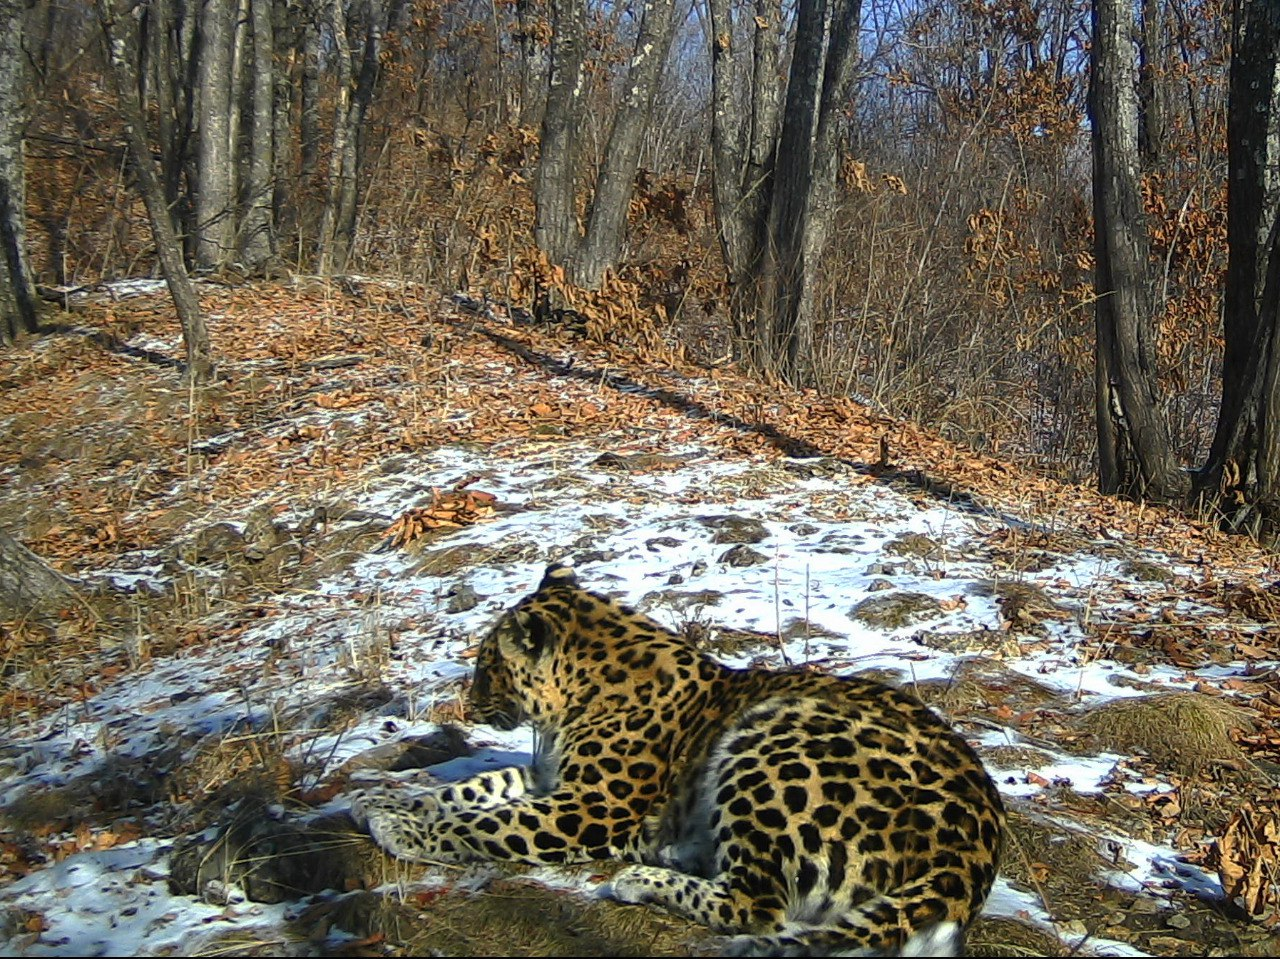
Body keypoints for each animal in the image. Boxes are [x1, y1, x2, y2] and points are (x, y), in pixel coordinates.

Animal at [348, 565, 998, 952]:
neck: (572, 699)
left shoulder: (588, 809)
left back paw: (641, 878)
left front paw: (401, 828)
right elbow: (472, 790)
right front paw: (383, 797)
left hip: (776, 733)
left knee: (758, 907)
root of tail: (973, 857)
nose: (469, 700)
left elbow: (483, 824)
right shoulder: (548, 779)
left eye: (487, 666)